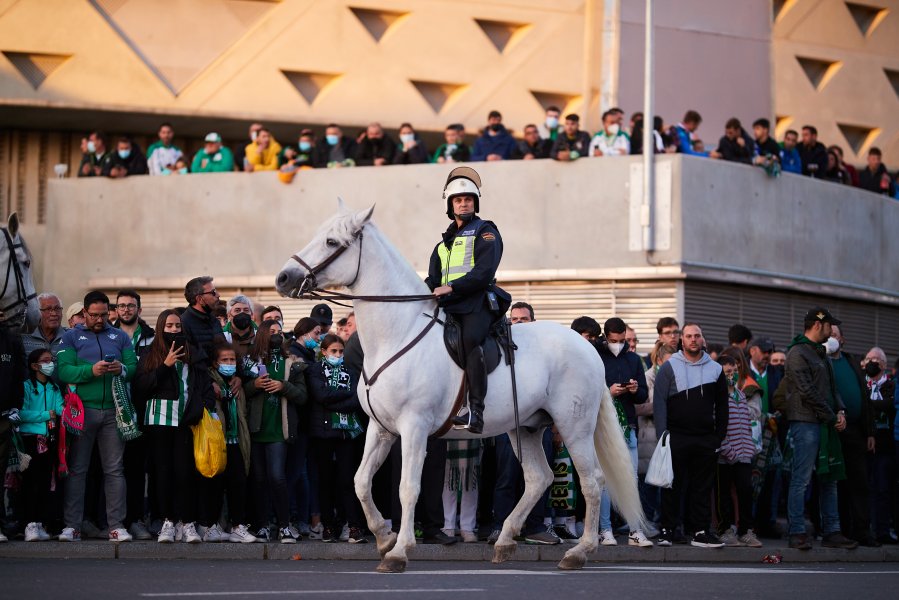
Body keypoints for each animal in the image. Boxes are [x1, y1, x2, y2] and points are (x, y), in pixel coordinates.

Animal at [272, 203, 640, 572]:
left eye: (332, 242)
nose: (283, 278)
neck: (398, 334)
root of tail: (588, 348)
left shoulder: (414, 427)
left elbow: (408, 488)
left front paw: (399, 550)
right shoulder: (380, 428)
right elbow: (361, 482)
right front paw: (384, 536)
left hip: (574, 426)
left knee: (592, 481)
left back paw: (579, 551)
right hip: (526, 427)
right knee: (539, 478)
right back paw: (505, 541)